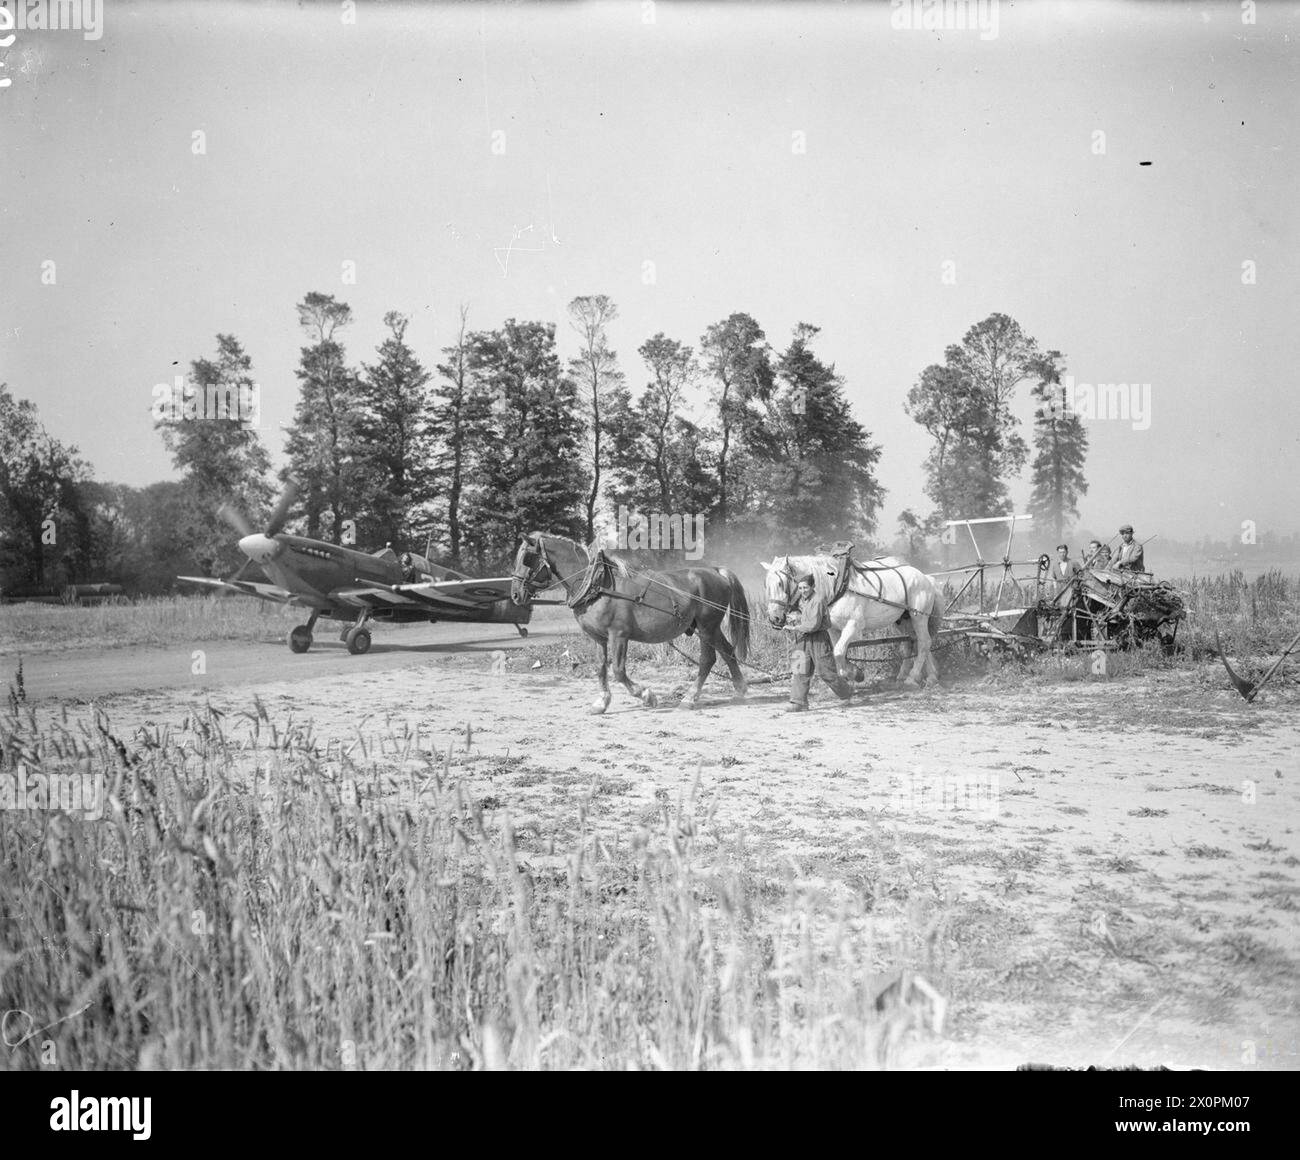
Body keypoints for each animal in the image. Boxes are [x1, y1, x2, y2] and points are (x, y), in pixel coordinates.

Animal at [509, 530, 754, 712]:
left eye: (526, 558)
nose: (515, 595)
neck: (596, 585)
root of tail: (716, 571)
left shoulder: (618, 635)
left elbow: (618, 670)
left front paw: (646, 696)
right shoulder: (598, 638)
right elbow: (600, 668)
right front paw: (601, 703)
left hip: (706, 627)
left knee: (708, 659)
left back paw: (690, 698)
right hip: (711, 628)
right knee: (728, 651)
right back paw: (740, 690)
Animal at [759, 553, 941, 686]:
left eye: (781, 584)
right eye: (766, 585)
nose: (774, 618)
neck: (836, 587)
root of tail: (927, 578)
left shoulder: (854, 626)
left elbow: (839, 651)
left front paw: (853, 674)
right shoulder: (833, 628)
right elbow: (838, 651)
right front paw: (847, 674)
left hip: (919, 617)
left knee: (924, 643)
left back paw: (912, 678)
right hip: (903, 620)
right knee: (914, 643)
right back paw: (924, 676)